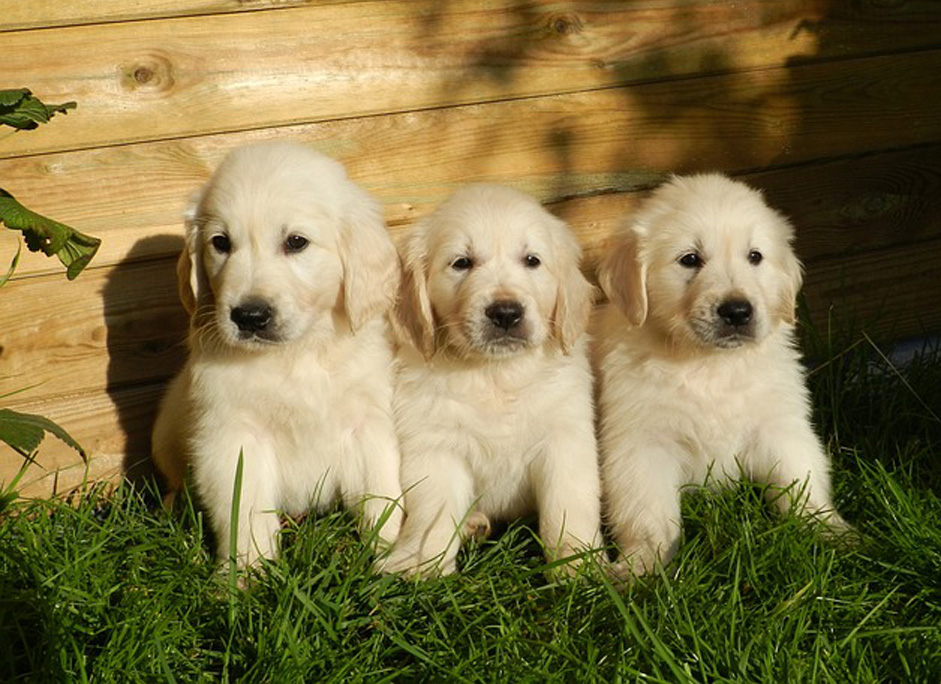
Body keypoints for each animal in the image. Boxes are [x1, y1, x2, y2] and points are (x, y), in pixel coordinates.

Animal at [152, 142, 402, 568]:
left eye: (296, 242)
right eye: (221, 243)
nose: (249, 316)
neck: (295, 355)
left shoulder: (368, 421)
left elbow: (382, 492)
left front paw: (398, 556)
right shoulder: (233, 437)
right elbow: (244, 511)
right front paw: (245, 572)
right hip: (166, 431)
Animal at [380, 183, 604, 576]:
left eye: (532, 260)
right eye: (462, 263)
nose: (506, 313)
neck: (495, 373)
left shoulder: (565, 436)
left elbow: (569, 503)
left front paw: (579, 564)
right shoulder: (436, 445)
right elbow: (434, 511)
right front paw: (423, 564)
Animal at [600, 174, 848, 576]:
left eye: (755, 256)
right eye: (689, 259)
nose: (737, 311)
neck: (709, 364)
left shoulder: (780, 426)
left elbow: (802, 481)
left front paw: (834, 533)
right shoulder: (641, 445)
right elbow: (648, 514)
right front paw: (642, 566)